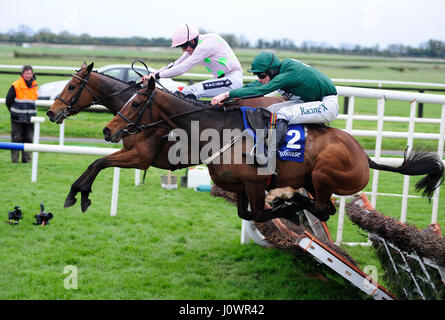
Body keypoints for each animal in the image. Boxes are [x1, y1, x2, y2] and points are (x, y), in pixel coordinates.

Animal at [46, 62, 286, 212]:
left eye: (72, 86)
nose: (51, 112)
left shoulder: (140, 158)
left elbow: (100, 162)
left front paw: (81, 194)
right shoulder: (128, 150)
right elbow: (96, 162)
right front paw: (75, 193)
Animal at [101, 77, 444, 222]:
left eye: (135, 103)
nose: (109, 130)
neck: (219, 128)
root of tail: (365, 157)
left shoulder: (254, 184)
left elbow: (259, 214)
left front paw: (284, 204)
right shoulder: (241, 187)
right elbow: (247, 214)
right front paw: (285, 203)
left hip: (323, 173)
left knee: (324, 208)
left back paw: (291, 200)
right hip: (314, 179)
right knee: (325, 208)